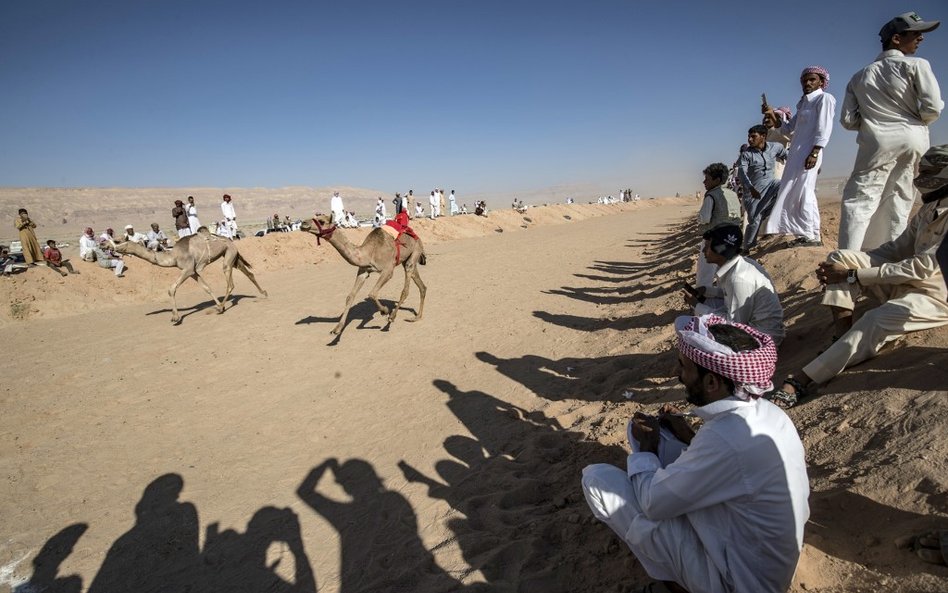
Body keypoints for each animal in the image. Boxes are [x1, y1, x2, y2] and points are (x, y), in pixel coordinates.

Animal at [116, 230, 270, 324]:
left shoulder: (188, 269)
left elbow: (171, 289)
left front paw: (175, 317)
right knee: (249, 273)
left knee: (231, 282)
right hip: (233, 256)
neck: (174, 255)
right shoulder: (194, 272)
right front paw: (218, 305)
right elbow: (206, 287)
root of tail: (231, 241)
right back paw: (263, 293)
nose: (112, 248)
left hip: (229, 256)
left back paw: (223, 306)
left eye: (118, 241)